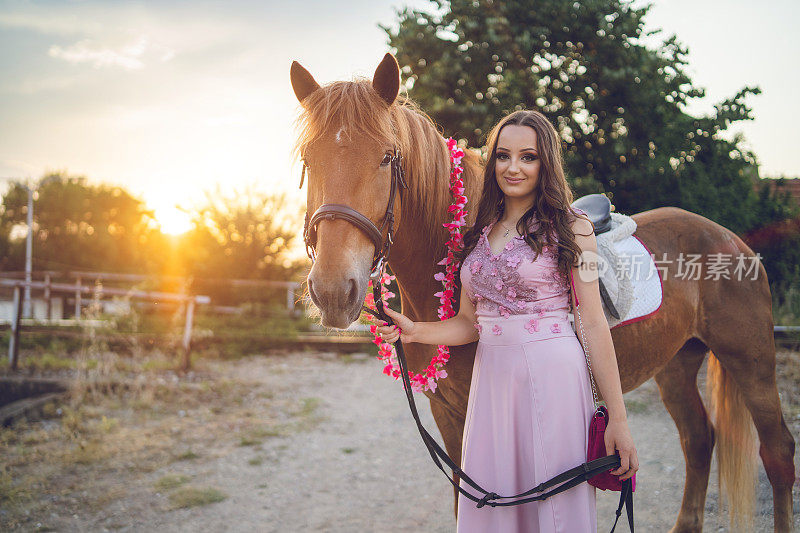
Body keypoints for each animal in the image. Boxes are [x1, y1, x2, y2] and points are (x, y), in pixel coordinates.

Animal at [290, 53, 796, 528]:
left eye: (386, 157)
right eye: (309, 161)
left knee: (778, 453)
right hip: (675, 362)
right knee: (699, 439)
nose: (333, 290)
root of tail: (729, 238)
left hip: (750, 361)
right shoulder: (449, 418)